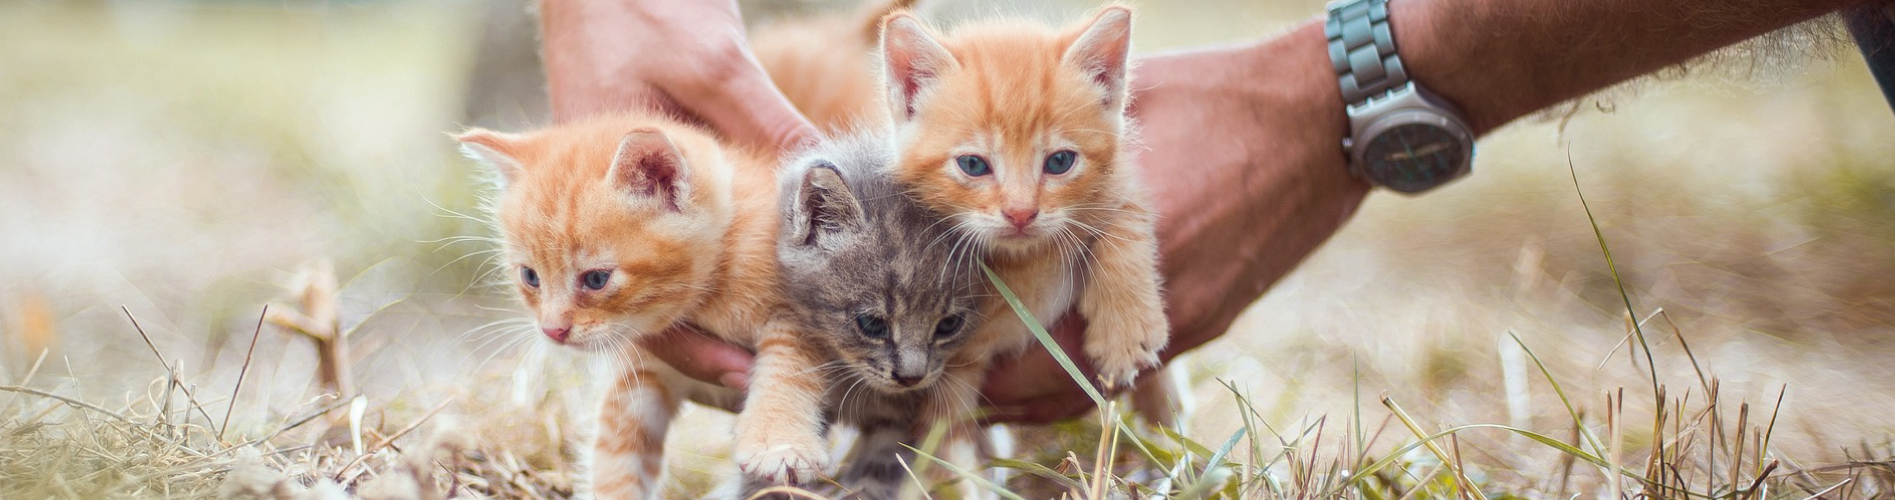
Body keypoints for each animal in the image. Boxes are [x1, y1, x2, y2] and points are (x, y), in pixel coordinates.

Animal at [454, 113, 833, 500]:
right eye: (530, 276)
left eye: (596, 279)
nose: (553, 330)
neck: (707, 298)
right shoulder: (640, 373)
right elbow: (616, 455)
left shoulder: (814, 305)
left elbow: (790, 359)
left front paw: (779, 440)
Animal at [875, 5, 1167, 392]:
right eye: (973, 165)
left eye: (1060, 162)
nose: (1020, 212)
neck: (1023, 262)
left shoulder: (1119, 182)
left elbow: (1126, 220)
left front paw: (1126, 330)